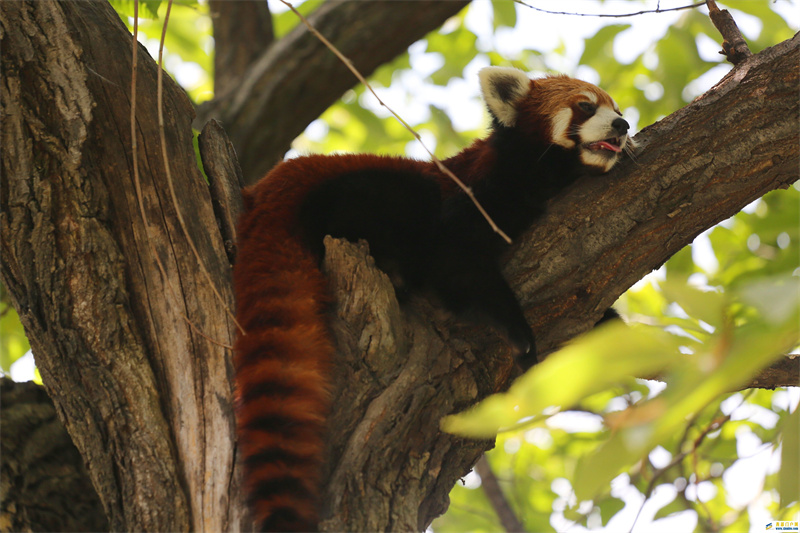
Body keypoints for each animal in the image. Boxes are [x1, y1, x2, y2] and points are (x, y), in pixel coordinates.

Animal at [231, 66, 632, 528]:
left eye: (617, 108)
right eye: (586, 106)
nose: (623, 125)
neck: (542, 176)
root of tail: (266, 196)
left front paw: (612, 326)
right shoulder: (474, 199)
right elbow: (456, 266)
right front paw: (519, 332)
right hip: (368, 195)